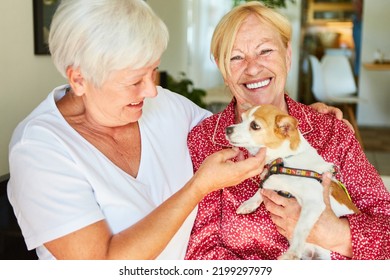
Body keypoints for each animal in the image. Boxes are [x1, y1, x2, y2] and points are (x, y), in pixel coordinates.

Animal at [225, 105, 360, 260]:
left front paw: (293, 252)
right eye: (241, 119)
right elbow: (262, 188)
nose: (227, 129)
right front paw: (249, 203)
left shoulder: (313, 203)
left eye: (255, 126)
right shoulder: (272, 179)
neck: (287, 160)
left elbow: (300, 227)